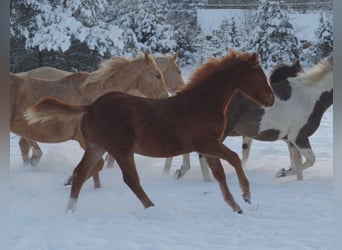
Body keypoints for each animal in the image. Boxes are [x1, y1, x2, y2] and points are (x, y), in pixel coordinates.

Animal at [11, 52, 169, 188]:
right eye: (157, 75)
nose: (165, 98)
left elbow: (95, 167)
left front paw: (94, 187)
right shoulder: (85, 141)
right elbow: (96, 166)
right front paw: (71, 181)